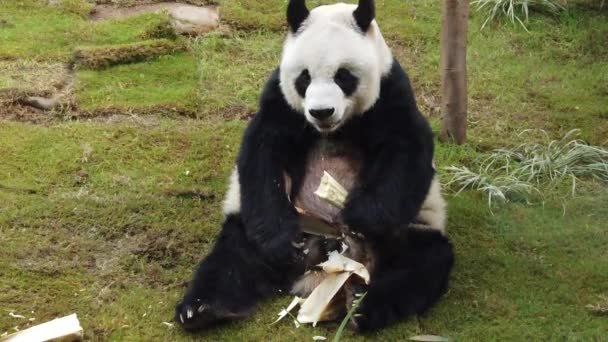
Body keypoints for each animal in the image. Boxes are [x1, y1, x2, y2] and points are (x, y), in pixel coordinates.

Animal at [175, 0, 452, 332]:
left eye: (344, 76)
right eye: (304, 78)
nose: (321, 111)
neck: (334, 129)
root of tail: (318, 267)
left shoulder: (390, 92)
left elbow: (406, 152)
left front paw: (359, 221)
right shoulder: (281, 101)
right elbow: (262, 153)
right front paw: (282, 241)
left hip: (412, 234)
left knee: (421, 265)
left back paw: (362, 307)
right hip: (254, 225)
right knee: (232, 260)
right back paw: (201, 309)